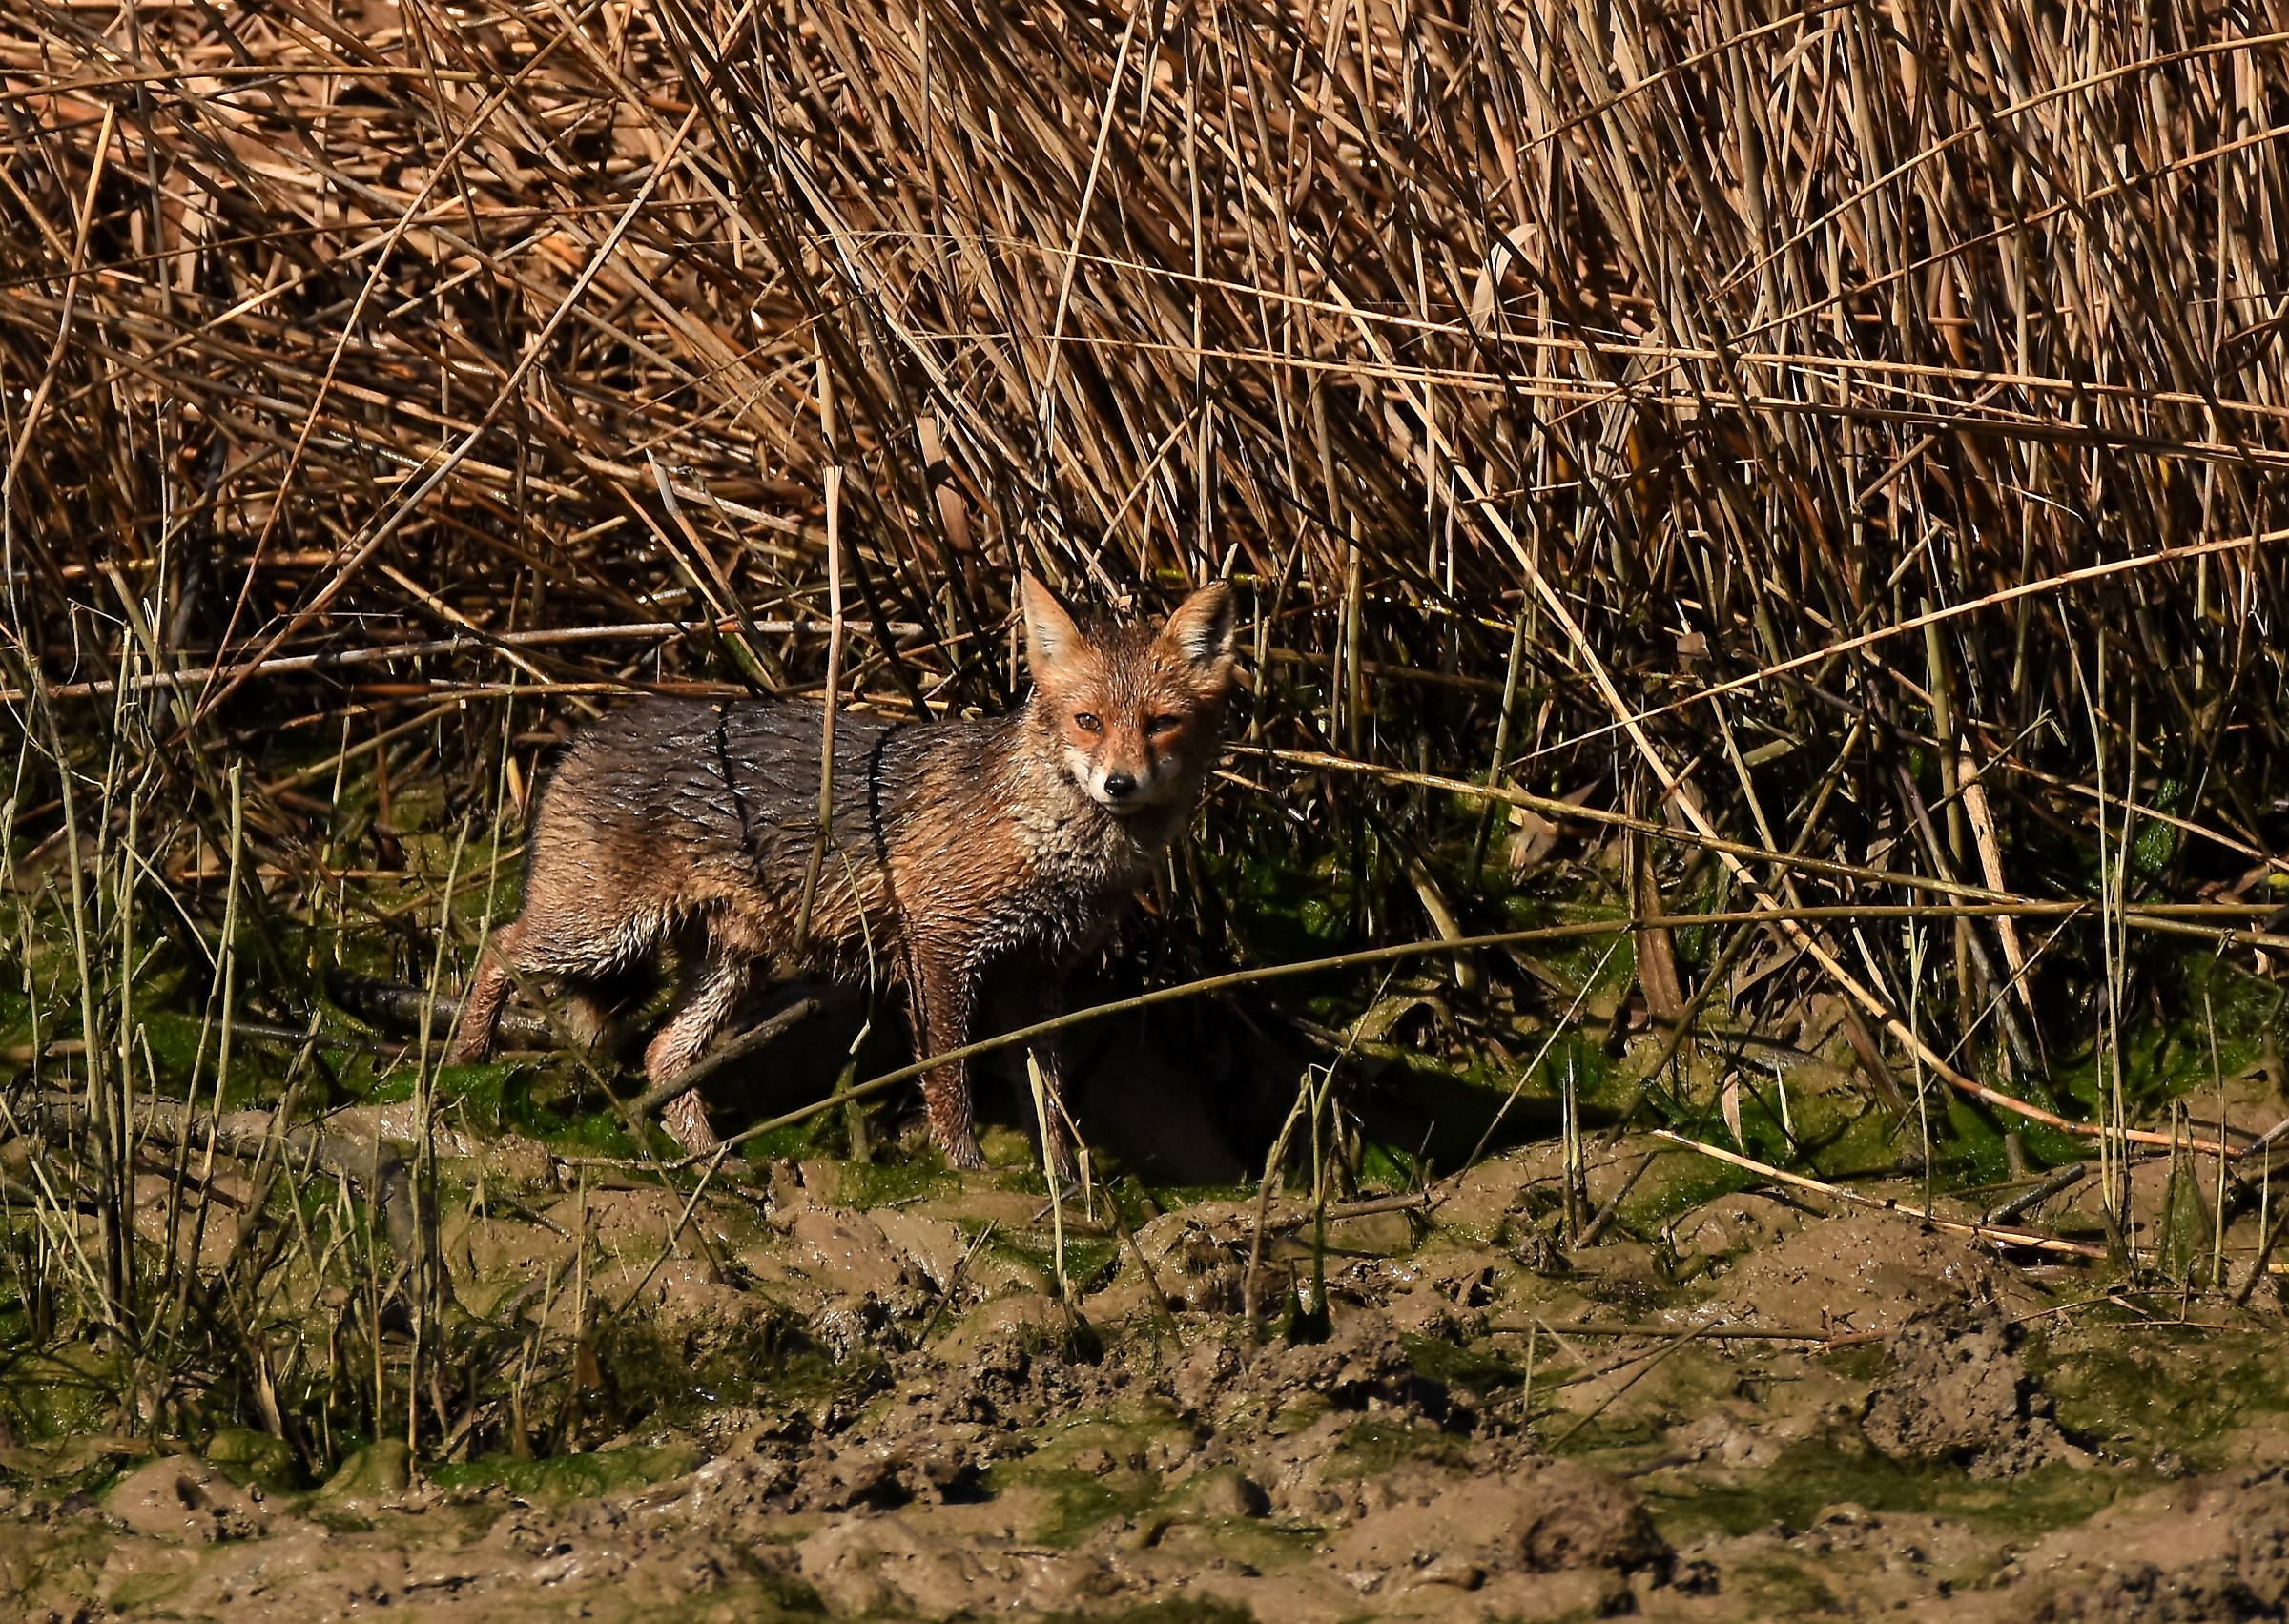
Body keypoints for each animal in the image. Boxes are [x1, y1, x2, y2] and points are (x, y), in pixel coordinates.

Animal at [444, 573, 1238, 1168]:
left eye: (1161, 724)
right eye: (1088, 721)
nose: (1119, 784)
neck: (1053, 849)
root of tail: (583, 732)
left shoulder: (1038, 971)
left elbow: (1048, 1098)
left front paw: (1067, 1185)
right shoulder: (940, 947)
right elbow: (947, 1075)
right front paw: (966, 1169)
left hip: (729, 963)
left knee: (664, 1053)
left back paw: (714, 1161)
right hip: (603, 931)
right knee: (497, 946)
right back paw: (465, 1063)